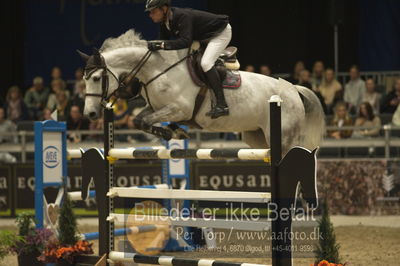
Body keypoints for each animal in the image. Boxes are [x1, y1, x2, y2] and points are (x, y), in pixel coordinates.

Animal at [79, 29, 324, 153]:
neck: (158, 69)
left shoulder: (180, 108)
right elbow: (140, 120)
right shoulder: (156, 107)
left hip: (284, 138)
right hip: (257, 137)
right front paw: (176, 132)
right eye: (84, 80)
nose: (89, 114)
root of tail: (293, 89)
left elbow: (145, 121)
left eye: (96, 78)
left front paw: (170, 133)